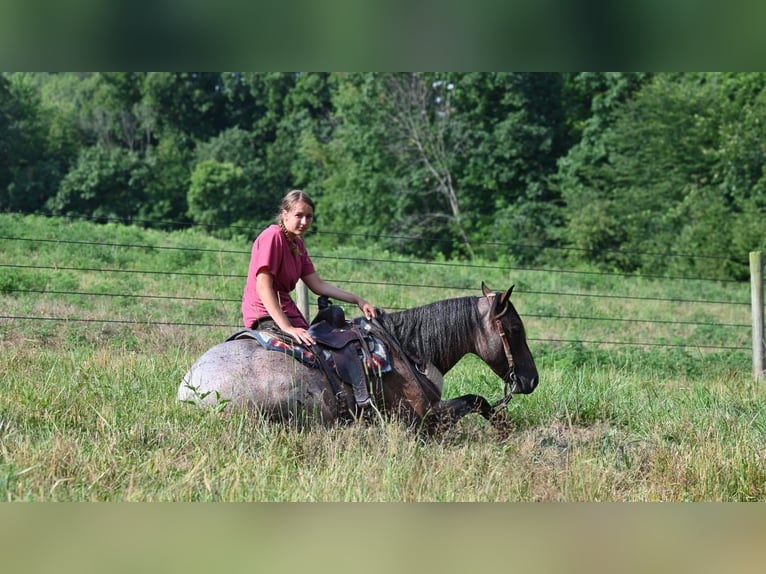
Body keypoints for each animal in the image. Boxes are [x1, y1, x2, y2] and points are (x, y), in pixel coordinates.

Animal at [179, 282, 540, 434]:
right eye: (515, 329)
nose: (531, 380)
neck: (405, 350)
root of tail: (190, 390)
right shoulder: (426, 419)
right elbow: (477, 400)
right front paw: (503, 428)